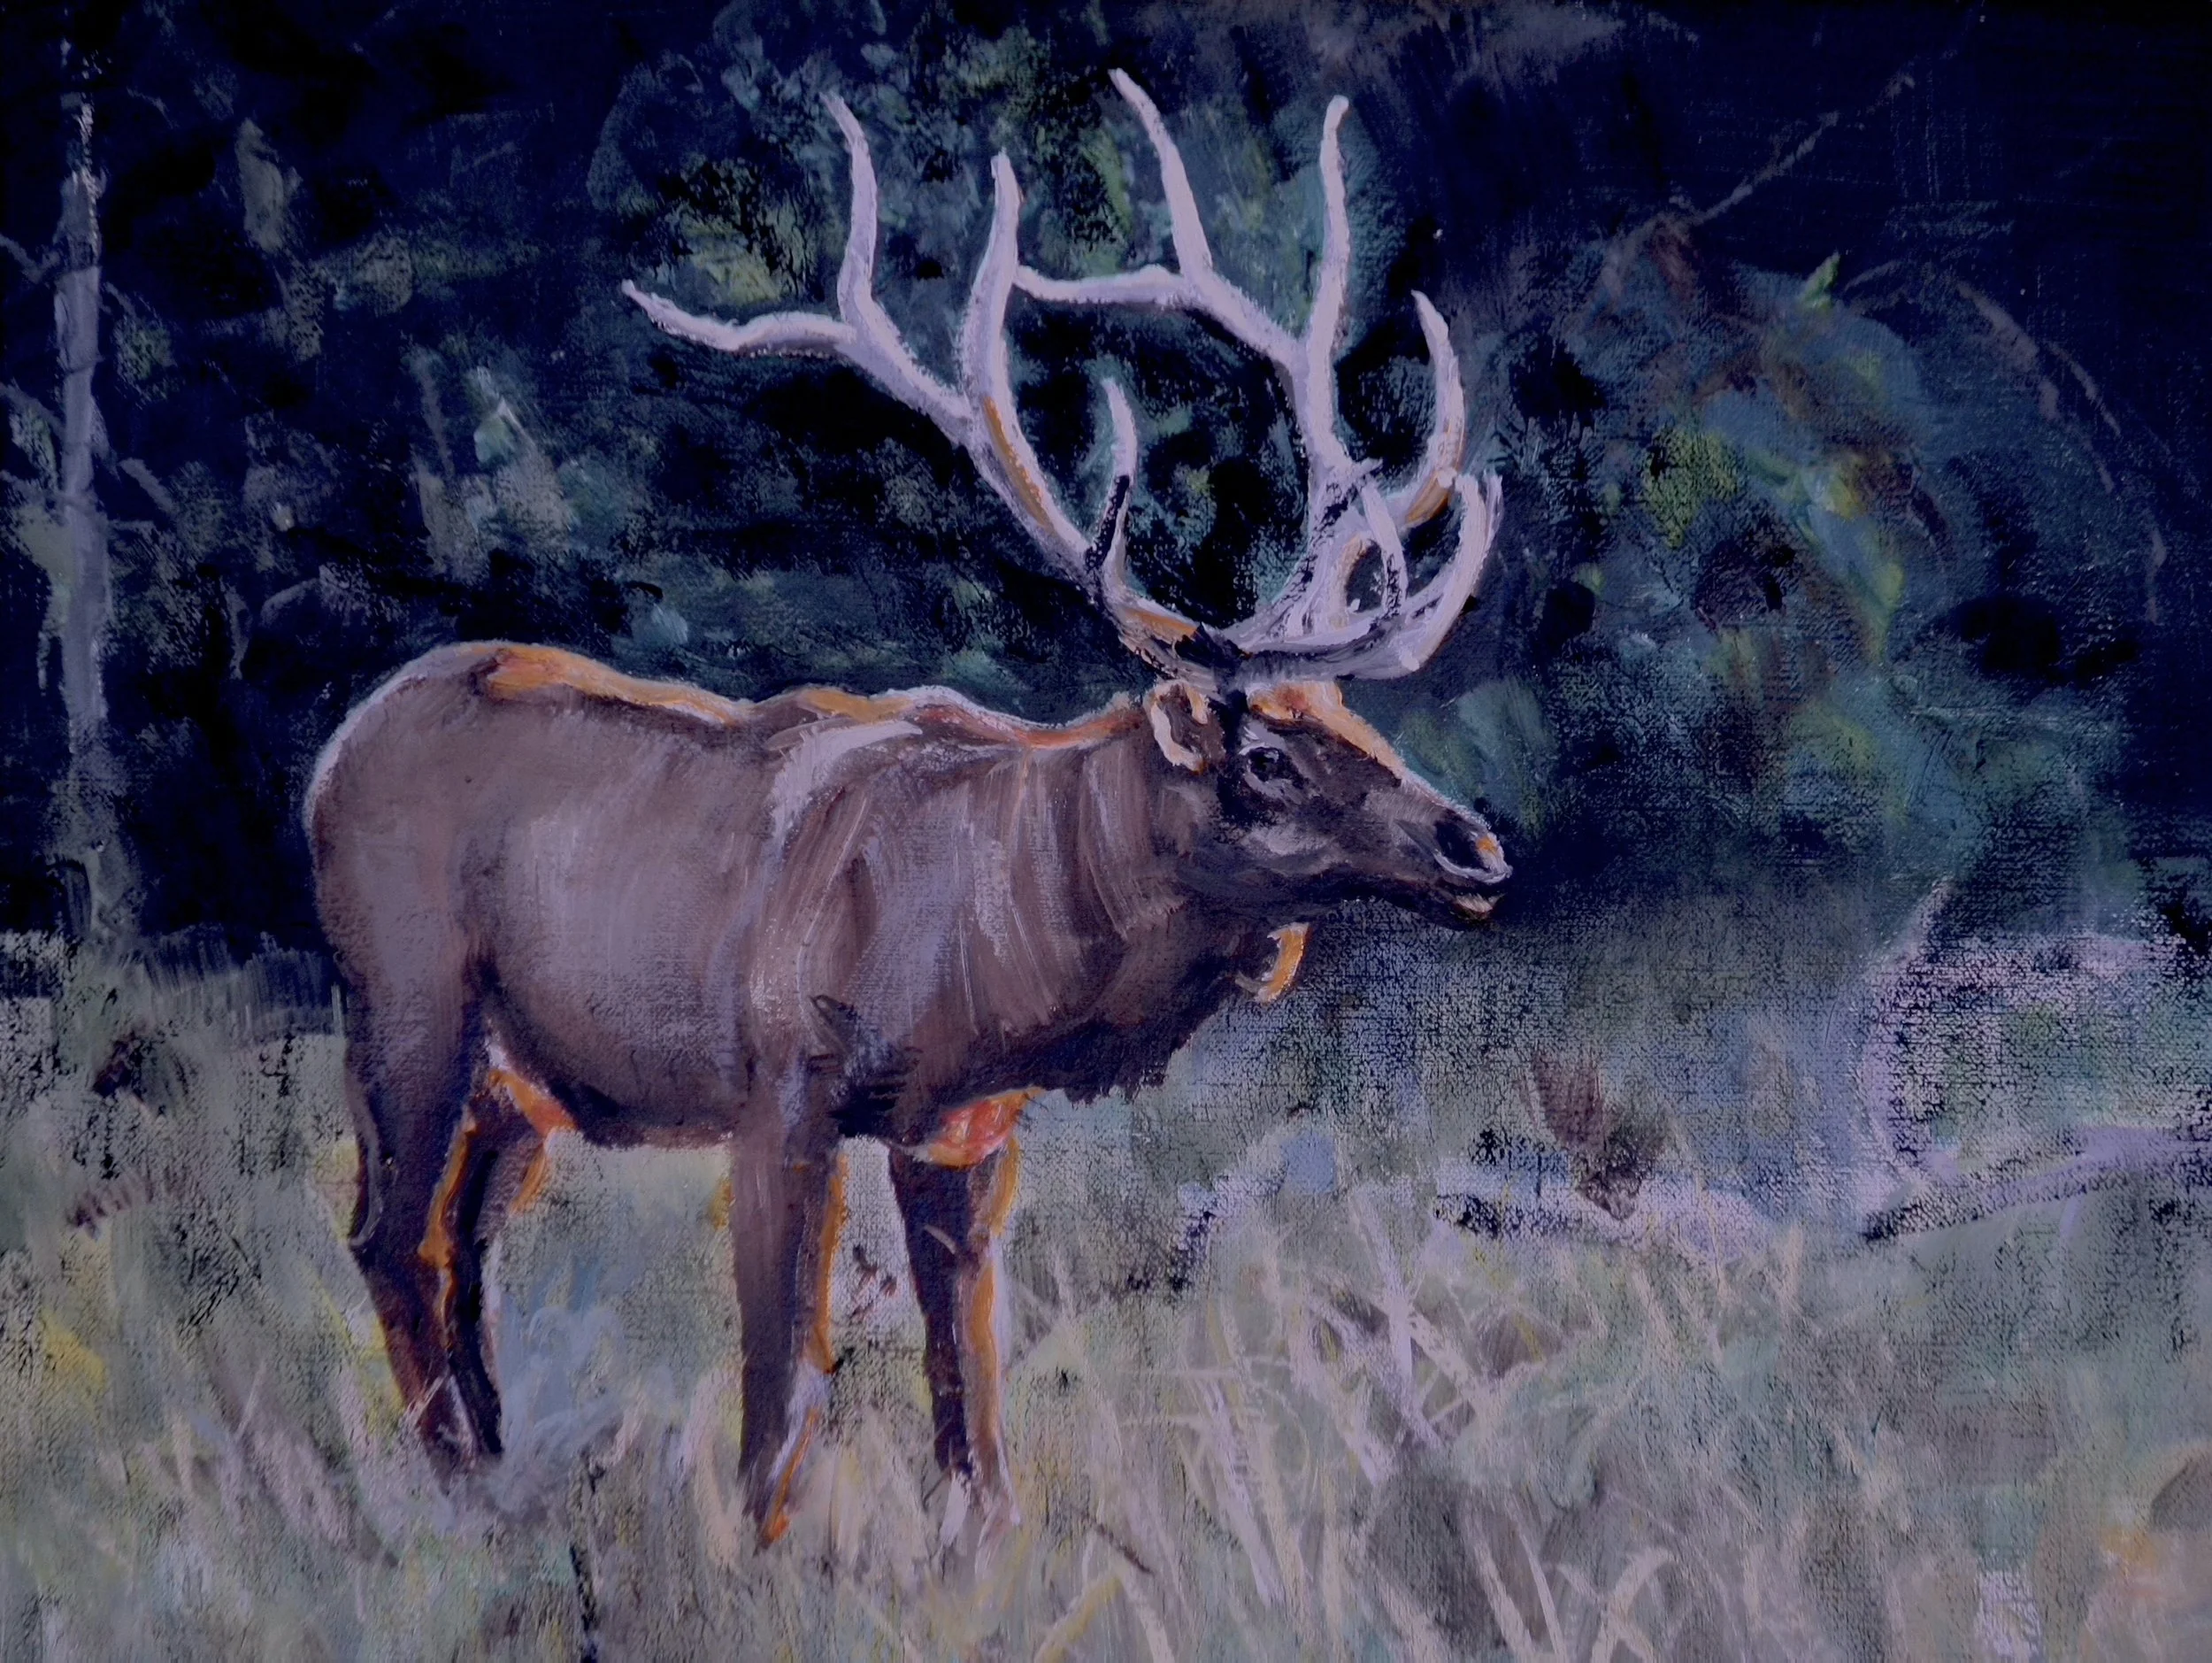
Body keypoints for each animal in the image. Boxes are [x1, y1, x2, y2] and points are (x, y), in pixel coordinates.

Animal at [307, 72, 1506, 1547]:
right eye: (1267, 758)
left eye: (1353, 717)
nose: (1475, 844)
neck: (1002, 953)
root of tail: (335, 750)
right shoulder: (781, 1080)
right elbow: (784, 1383)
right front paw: (760, 1551)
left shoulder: (969, 1130)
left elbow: (967, 1374)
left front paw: (985, 1538)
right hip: (405, 995)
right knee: (389, 1231)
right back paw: (457, 1490)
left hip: (518, 1076)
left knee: (462, 1239)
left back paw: (499, 1470)